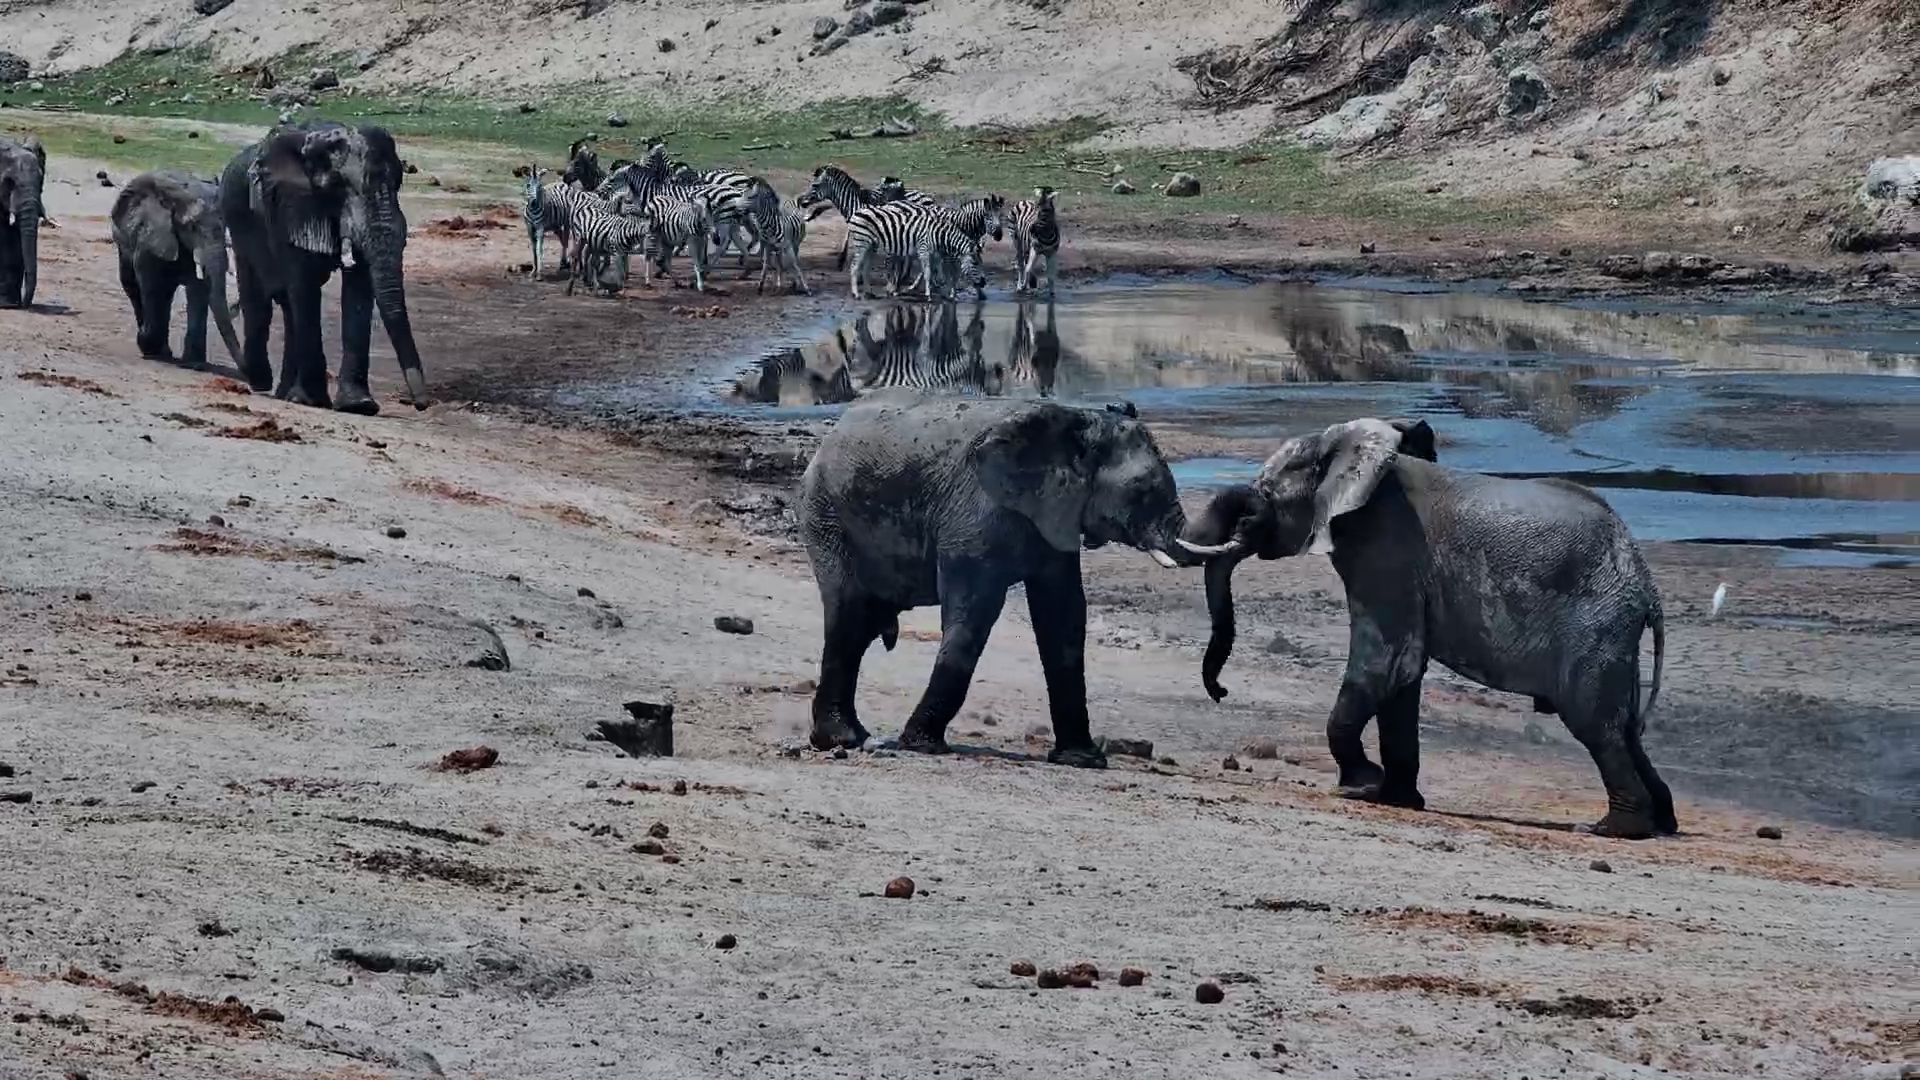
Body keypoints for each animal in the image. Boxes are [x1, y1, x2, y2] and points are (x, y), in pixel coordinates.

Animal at [109, 170, 243, 369]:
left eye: (225, 226)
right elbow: (152, 286)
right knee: (133, 286)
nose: (234, 307)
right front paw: (148, 345)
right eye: (192, 227)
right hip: (122, 241)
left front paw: (194, 364)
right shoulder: (152, 238)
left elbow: (199, 290)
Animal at [220, 120, 428, 414]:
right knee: (259, 299)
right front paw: (314, 402)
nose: (421, 404)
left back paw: (285, 393)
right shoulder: (290, 206)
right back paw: (262, 381)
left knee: (287, 307)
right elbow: (304, 285)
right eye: (338, 187)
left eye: (398, 183)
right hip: (237, 220)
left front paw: (358, 406)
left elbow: (358, 289)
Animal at [796, 392, 1194, 767]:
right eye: (1143, 490)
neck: (1077, 420)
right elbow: (975, 612)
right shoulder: (975, 513)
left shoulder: (1053, 515)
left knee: (861, 626)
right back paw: (844, 740)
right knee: (849, 617)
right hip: (829, 518)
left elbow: (1063, 615)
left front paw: (1084, 761)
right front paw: (922, 745)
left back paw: (851, 739)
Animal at [1178, 417, 1673, 839]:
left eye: (1263, 493)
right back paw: (1660, 823)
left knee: (1595, 723)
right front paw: (1393, 798)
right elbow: (1402, 676)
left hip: (1595, 624)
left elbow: (1387, 661)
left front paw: (1362, 785)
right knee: (1626, 727)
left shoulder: (1385, 549)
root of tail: (1645, 582)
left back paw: (1608, 829)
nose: (1221, 692)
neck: (1349, 454)